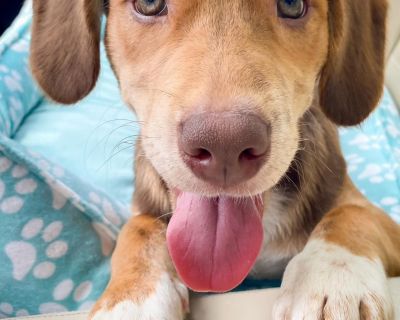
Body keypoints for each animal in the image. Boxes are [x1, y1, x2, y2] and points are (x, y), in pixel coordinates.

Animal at [29, 0, 400, 318]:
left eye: (293, 5)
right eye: (148, 4)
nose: (225, 145)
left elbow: (351, 215)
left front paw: (333, 281)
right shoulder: (142, 207)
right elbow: (137, 228)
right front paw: (131, 299)